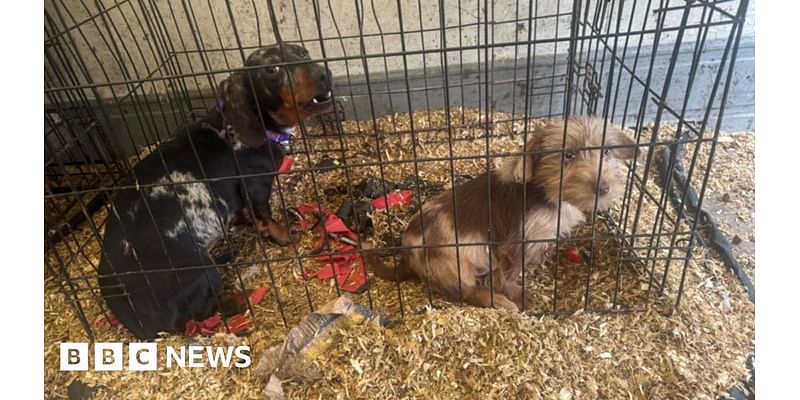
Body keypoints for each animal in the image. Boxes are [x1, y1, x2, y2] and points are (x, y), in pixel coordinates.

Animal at [97, 44, 334, 338]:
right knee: (200, 315)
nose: (324, 74)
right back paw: (240, 298)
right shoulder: (256, 184)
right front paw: (282, 235)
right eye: (271, 69)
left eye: (302, 53)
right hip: (203, 273)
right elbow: (266, 215)